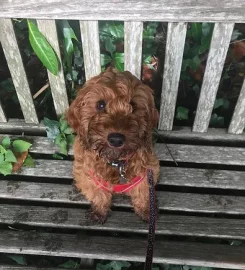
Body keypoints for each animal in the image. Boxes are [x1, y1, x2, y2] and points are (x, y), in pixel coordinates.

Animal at [66, 68, 160, 224]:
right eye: (100, 105)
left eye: (133, 106)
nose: (116, 139)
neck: (116, 163)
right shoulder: (91, 177)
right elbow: (99, 194)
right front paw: (99, 211)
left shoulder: (147, 172)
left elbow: (143, 193)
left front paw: (147, 210)